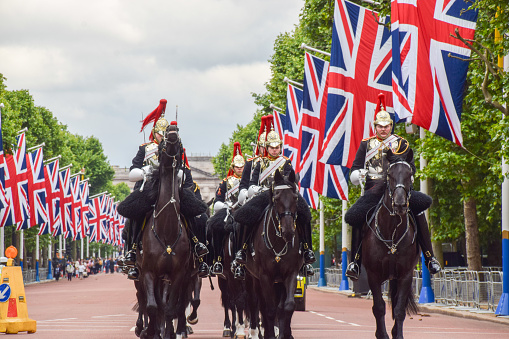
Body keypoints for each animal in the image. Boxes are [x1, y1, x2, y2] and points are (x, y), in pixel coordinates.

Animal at [138, 125, 193, 339]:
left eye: (179, 140)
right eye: (160, 146)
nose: (171, 132)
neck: (167, 230)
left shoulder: (179, 274)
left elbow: (169, 308)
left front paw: (168, 332)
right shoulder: (148, 272)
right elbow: (152, 307)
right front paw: (152, 332)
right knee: (145, 302)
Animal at [243, 170, 302, 339]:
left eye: (295, 197)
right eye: (276, 197)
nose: (288, 232)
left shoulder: (290, 273)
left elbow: (287, 306)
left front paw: (285, 334)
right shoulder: (265, 276)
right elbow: (268, 309)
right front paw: (269, 334)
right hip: (253, 277)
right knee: (257, 303)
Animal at [364, 153, 418, 338]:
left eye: (410, 174)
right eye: (389, 174)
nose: (400, 204)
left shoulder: (406, 275)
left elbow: (399, 309)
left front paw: (398, 334)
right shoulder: (372, 275)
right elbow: (379, 307)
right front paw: (382, 334)